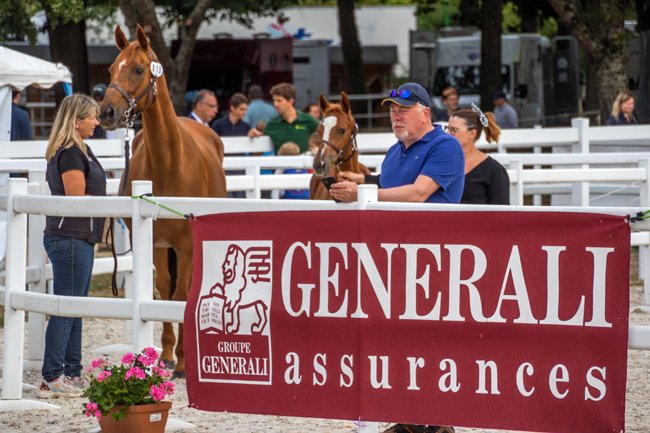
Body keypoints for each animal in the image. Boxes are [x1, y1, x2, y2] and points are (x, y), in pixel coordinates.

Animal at [99, 25, 227, 377]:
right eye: (111, 69)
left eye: (138, 69)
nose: (106, 112)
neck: (170, 162)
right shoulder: (156, 243)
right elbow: (164, 290)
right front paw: (167, 354)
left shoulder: (185, 245)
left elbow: (181, 295)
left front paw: (182, 359)